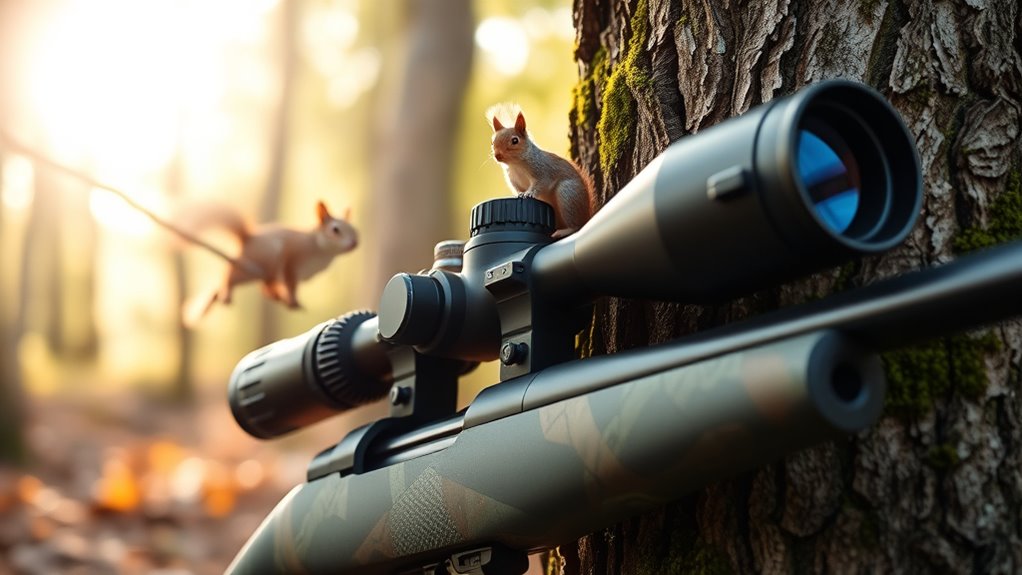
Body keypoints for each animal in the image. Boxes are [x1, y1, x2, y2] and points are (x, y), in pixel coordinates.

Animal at [180, 200, 358, 325]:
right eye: (335, 230)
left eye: (355, 230)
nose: (354, 243)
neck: (320, 248)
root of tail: (247, 239)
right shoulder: (292, 259)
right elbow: (291, 284)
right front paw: (293, 300)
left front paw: (291, 300)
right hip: (257, 262)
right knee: (229, 275)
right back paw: (227, 293)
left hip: (269, 272)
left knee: (265, 288)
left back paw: (275, 295)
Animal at [488, 104, 596, 238]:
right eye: (492, 142)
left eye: (515, 140)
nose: (497, 155)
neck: (516, 165)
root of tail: (586, 214)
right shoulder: (513, 180)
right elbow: (518, 189)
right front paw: (520, 194)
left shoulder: (542, 170)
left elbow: (541, 184)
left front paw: (529, 193)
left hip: (568, 195)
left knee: (576, 226)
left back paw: (563, 231)